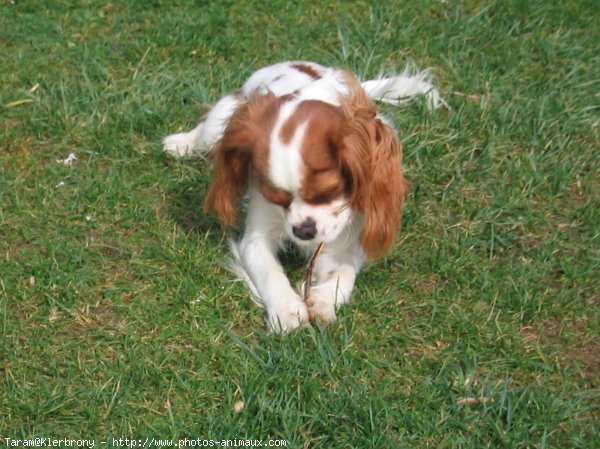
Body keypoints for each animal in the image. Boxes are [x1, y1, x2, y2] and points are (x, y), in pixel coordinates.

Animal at [163, 61, 440, 330]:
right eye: (276, 198)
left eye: (329, 192)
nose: (303, 231)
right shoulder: (255, 240)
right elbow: (271, 273)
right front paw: (287, 311)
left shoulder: (351, 234)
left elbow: (346, 270)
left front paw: (324, 299)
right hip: (223, 116)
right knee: (205, 129)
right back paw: (180, 142)